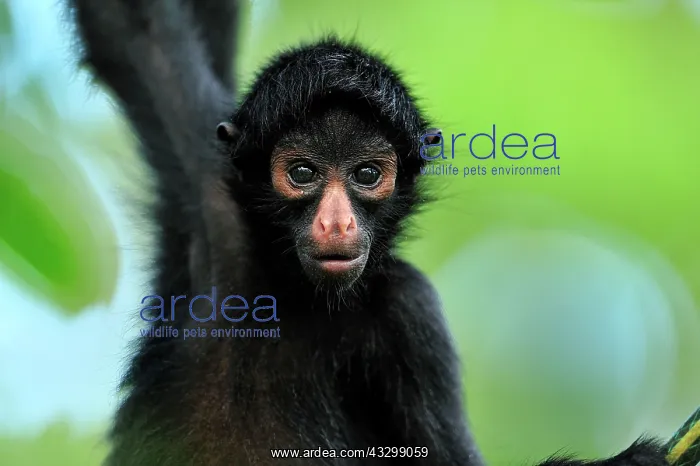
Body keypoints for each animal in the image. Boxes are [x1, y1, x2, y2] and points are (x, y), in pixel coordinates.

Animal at [66, 0, 671, 465]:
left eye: (365, 175)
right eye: (302, 173)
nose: (337, 221)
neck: (299, 298)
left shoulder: (411, 310)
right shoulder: (211, 193)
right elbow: (132, 32)